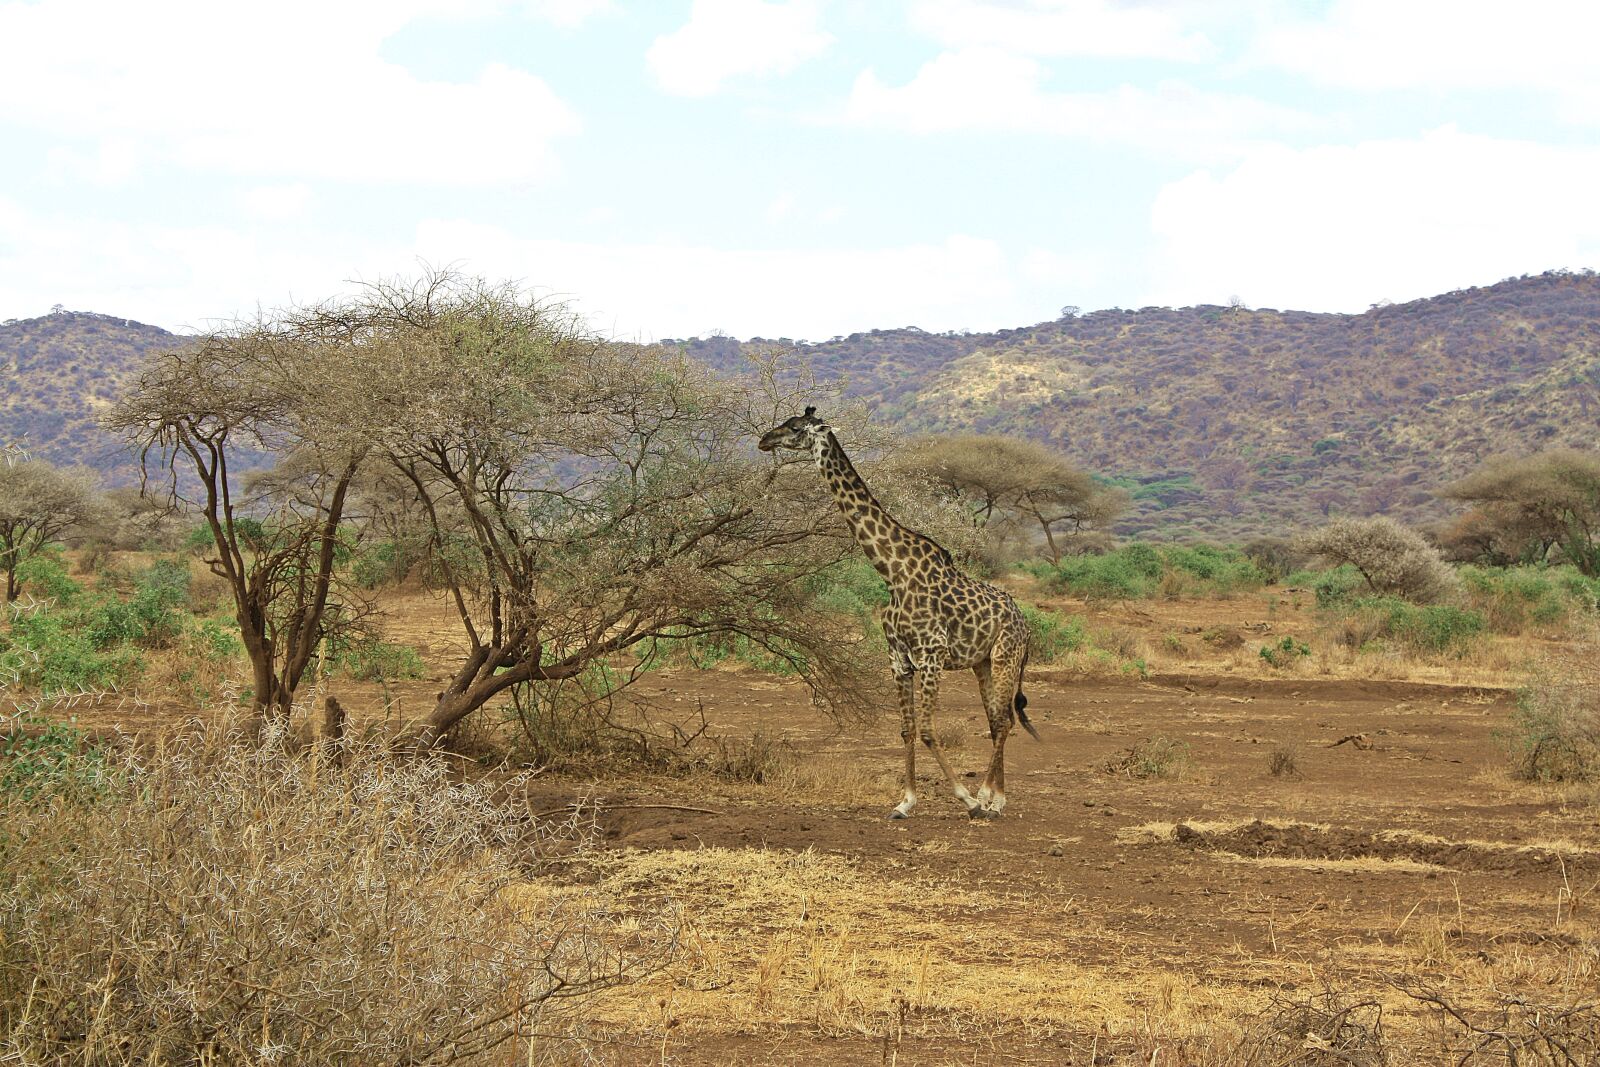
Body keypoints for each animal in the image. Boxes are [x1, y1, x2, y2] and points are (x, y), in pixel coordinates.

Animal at [759, 407, 1039, 820]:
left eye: (795, 427)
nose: (764, 440)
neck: (891, 571)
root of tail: (1026, 624)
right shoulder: (898, 658)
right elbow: (907, 730)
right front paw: (904, 803)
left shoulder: (931, 654)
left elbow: (928, 730)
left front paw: (967, 799)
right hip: (983, 662)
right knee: (995, 721)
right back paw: (997, 799)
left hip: (1007, 657)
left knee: (1003, 722)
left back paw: (989, 798)